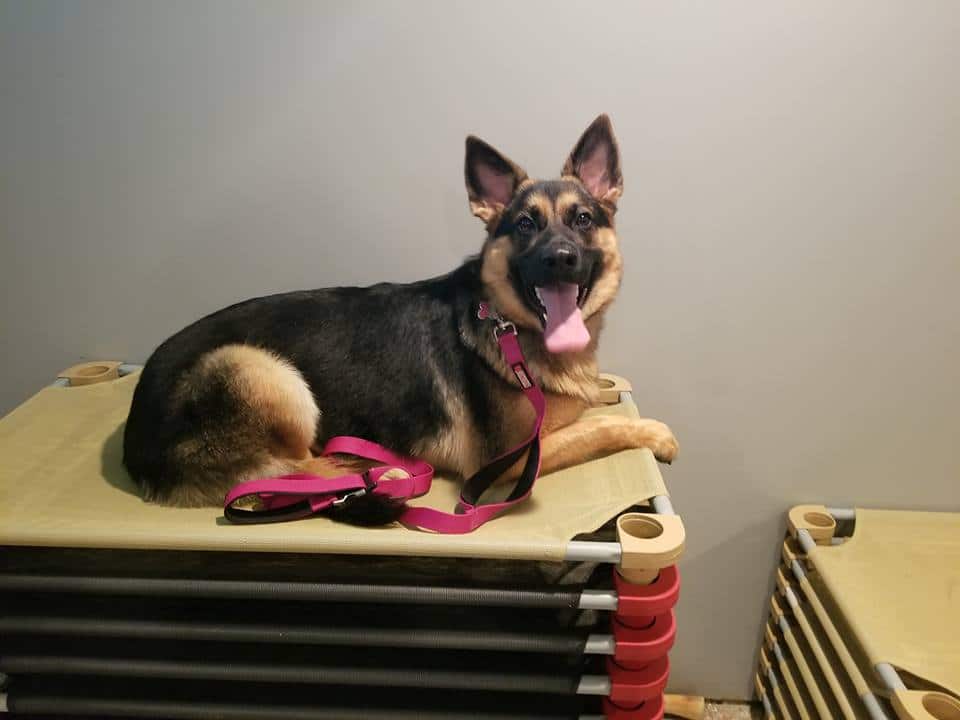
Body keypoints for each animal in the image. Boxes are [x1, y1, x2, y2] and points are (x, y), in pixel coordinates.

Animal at [122, 116, 676, 524]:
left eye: (582, 219)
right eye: (524, 225)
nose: (560, 258)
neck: (509, 328)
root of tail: (135, 444)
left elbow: (593, 411)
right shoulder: (511, 461)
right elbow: (599, 429)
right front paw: (652, 431)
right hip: (259, 368)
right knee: (292, 469)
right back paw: (374, 474)